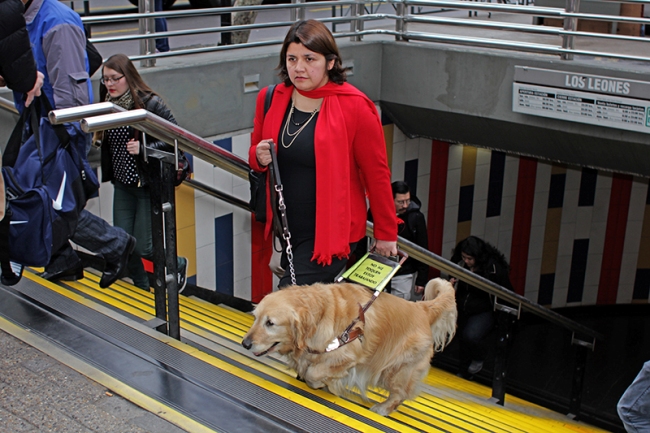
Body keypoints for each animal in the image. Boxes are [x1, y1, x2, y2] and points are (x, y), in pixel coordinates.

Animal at [239, 278, 456, 414]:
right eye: (255, 317)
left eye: (270, 323)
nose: (245, 343)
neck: (321, 315)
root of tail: (422, 308)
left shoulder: (347, 355)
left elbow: (314, 373)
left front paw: (323, 383)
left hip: (396, 370)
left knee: (400, 394)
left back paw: (383, 409)